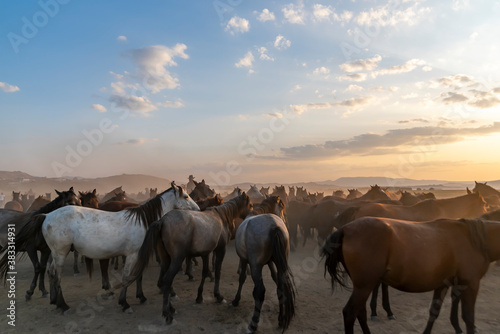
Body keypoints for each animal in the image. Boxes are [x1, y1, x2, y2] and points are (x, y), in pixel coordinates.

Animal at [11, 183, 199, 314]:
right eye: (186, 196)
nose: (198, 208)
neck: (142, 221)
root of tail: (47, 215)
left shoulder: (138, 254)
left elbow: (137, 276)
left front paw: (141, 296)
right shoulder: (132, 255)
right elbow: (127, 277)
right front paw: (125, 303)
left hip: (55, 253)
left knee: (50, 272)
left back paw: (54, 302)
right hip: (60, 253)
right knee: (56, 276)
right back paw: (63, 306)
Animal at [120, 192, 252, 324]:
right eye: (250, 205)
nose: (251, 216)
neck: (221, 217)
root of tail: (162, 221)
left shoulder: (205, 253)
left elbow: (205, 272)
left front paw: (199, 296)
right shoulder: (220, 250)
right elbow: (217, 272)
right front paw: (218, 296)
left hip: (166, 259)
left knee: (162, 280)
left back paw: (171, 308)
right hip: (177, 260)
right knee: (167, 280)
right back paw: (167, 314)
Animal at [231, 197, 296, 332]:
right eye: (282, 208)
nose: (286, 221)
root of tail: (274, 226)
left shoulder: (244, 260)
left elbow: (242, 278)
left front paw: (236, 300)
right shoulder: (271, 262)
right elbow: (275, 278)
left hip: (256, 267)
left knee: (260, 291)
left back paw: (253, 323)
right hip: (280, 264)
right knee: (281, 286)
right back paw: (281, 319)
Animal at [322, 217, 500, 334]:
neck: (474, 240)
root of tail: (345, 229)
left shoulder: (446, 283)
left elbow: (435, 311)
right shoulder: (470, 284)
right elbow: (469, 318)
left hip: (364, 286)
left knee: (360, 312)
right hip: (364, 286)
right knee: (350, 313)